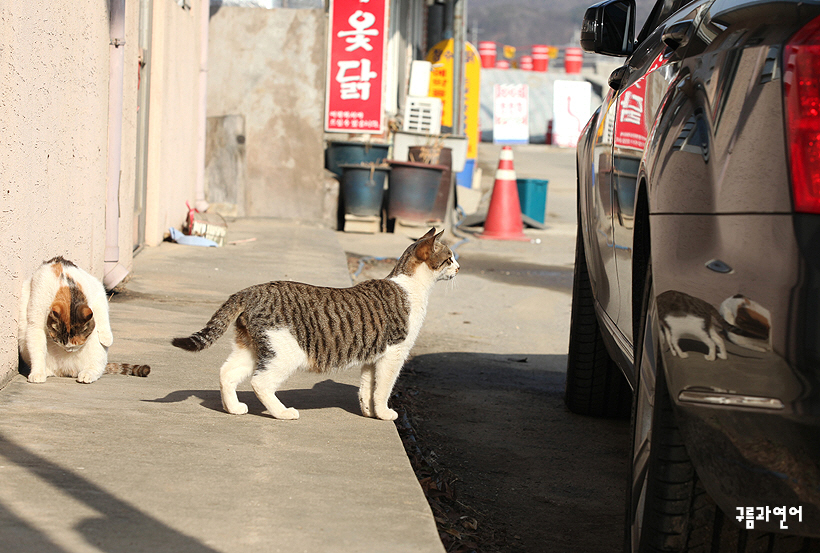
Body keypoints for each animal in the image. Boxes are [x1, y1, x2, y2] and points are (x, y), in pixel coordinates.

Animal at [18, 256, 150, 382]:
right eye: (59, 343)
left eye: (75, 345)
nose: (69, 351)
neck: (65, 286)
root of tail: (67, 371)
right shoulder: (36, 316)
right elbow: (37, 347)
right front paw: (38, 373)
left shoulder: (98, 289)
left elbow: (102, 310)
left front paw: (107, 338)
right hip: (23, 338)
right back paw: (47, 371)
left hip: (96, 344)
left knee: (97, 366)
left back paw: (88, 374)